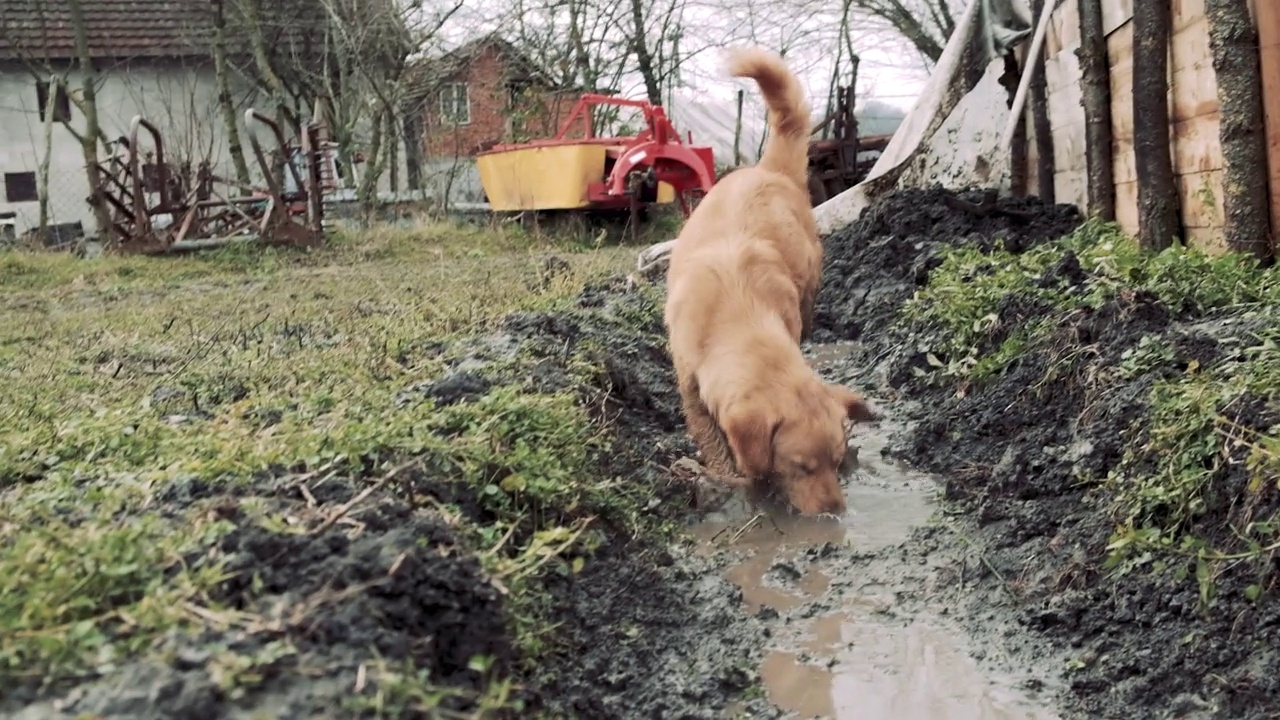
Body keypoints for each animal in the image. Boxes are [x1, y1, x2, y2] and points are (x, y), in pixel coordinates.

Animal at [660, 47, 880, 512]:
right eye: (800, 467)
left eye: (837, 461)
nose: (835, 511)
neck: (736, 312)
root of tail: (769, 169)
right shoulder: (689, 384)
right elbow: (711, 437)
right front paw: (729, 476)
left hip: (810, 276)